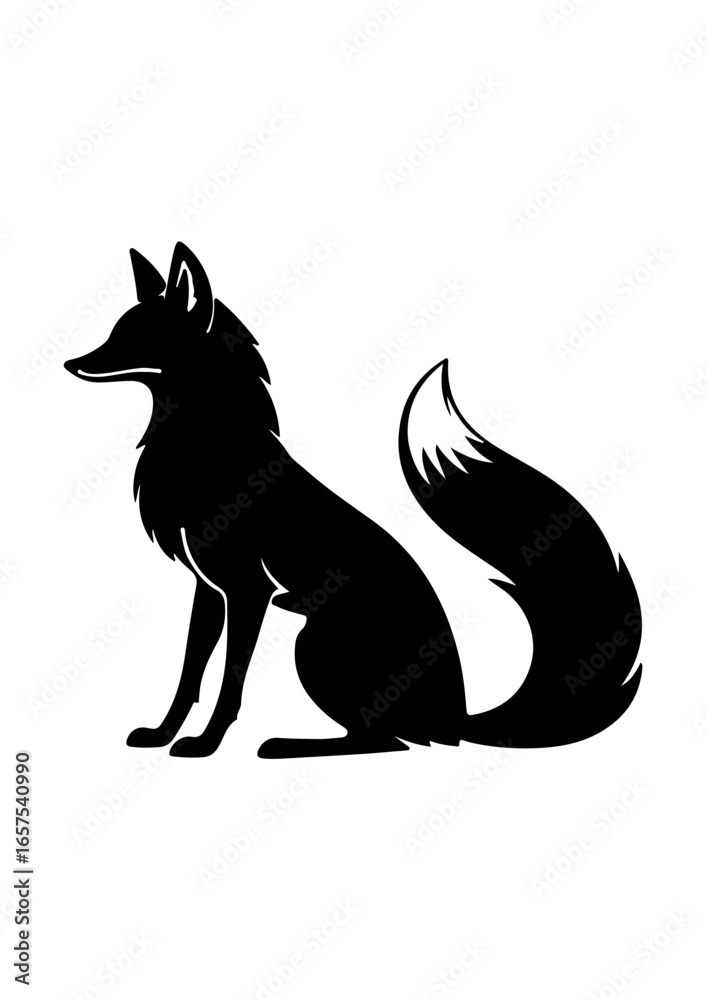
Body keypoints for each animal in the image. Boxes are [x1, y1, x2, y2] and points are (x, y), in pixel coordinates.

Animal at [65, 242, 642, 759]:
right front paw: (163, 734)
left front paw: (205, 745)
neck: (205, 444)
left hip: (314, 645)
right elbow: (189, 674)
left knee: (384, 741)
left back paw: (289, 745)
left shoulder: (248, 592)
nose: (71, 363)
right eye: (115, 331)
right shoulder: (208, 590)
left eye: (137, 337)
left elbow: (230, 681)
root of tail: (456, 715)